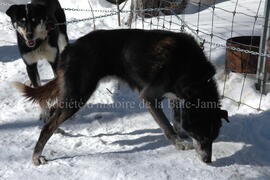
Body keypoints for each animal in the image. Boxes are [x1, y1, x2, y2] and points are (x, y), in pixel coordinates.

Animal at [13, 28, 229, 165]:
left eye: (214, 137)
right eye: (202, 136)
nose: (208, 161)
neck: (191, 69)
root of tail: (70, 48)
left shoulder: (175, 96)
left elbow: (176, 119)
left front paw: (182, 132)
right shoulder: (149, 97)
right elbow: (167, 126)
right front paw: (179, 143)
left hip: (72, 94)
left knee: (52, 112)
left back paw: (57, 130)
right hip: (79, 95)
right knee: (48, 125)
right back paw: (36, 156)